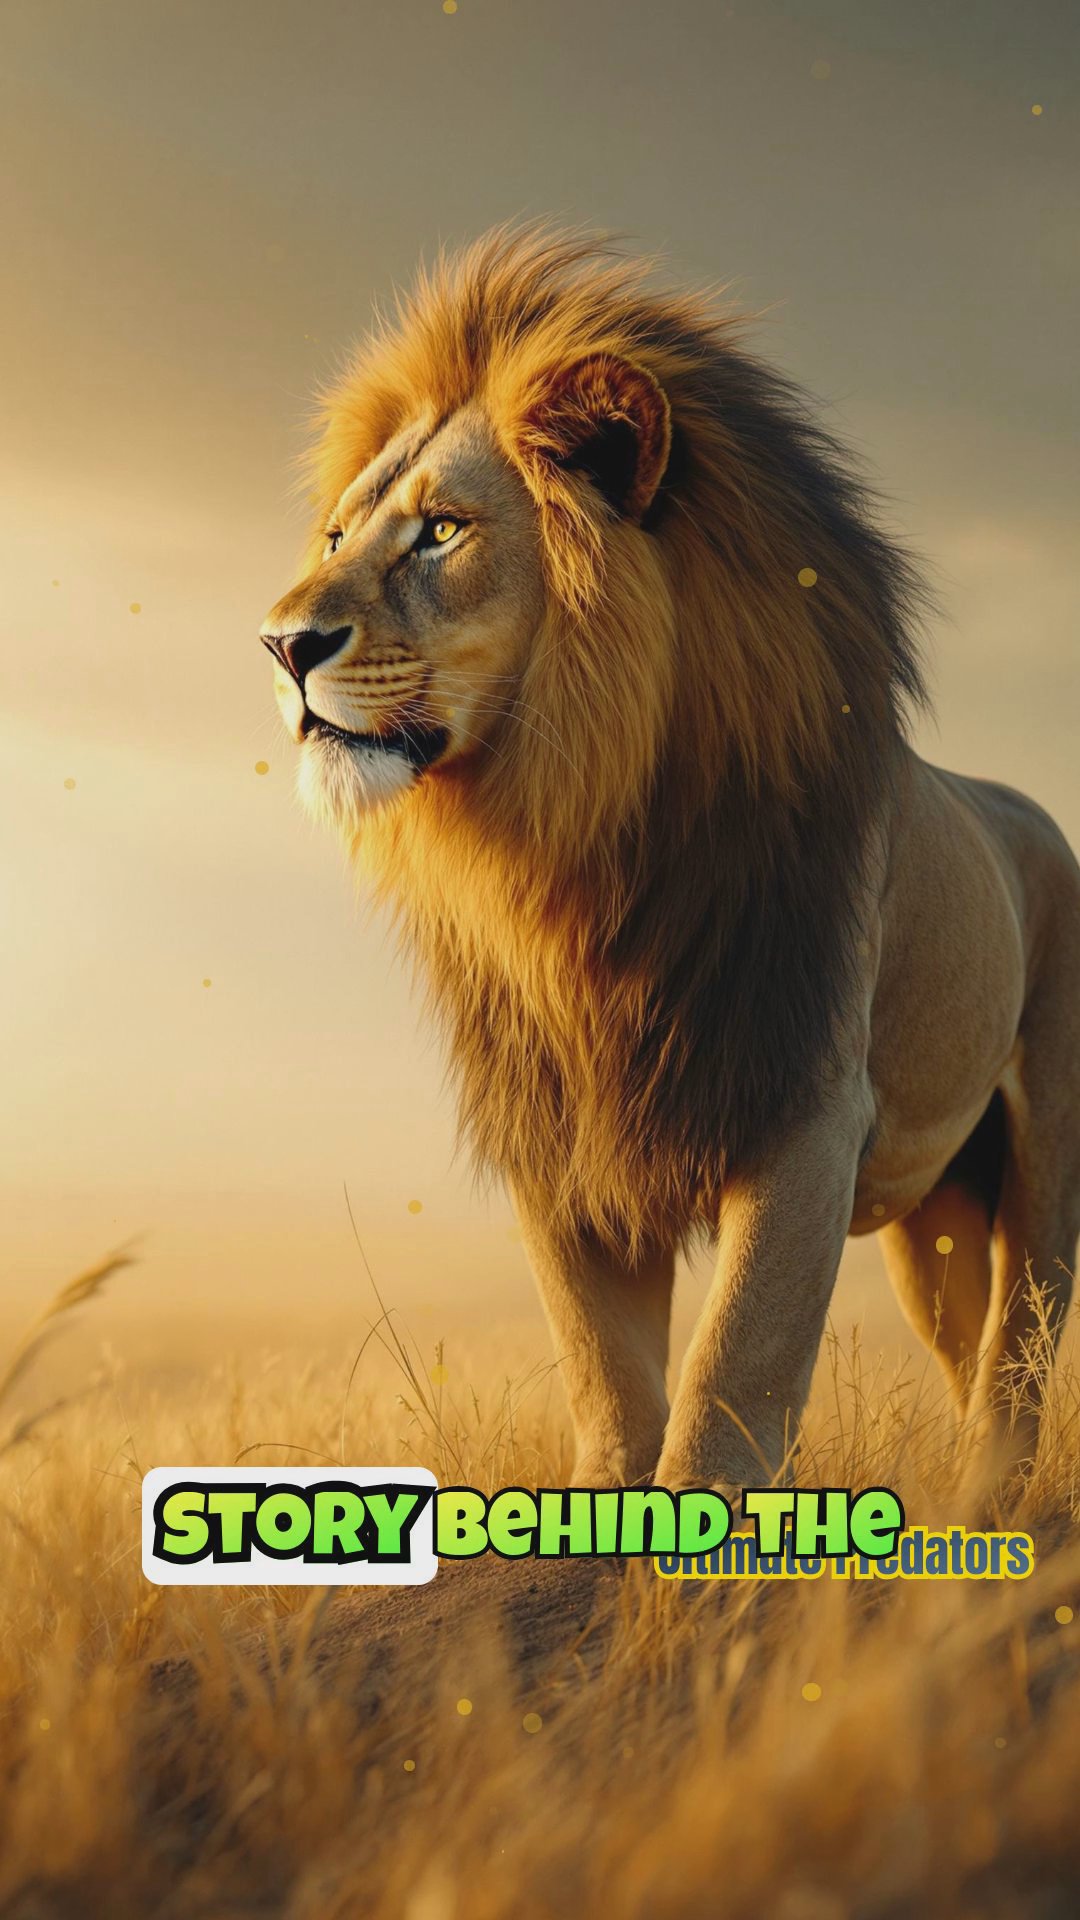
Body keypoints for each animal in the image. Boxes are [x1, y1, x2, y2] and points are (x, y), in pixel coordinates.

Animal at [261, 228, 1080, 1500]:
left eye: (442, 531)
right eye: (338, 537)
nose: (282, 644)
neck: (571, 846)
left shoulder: (803, 1104)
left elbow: (733, 1374)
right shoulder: (566, 1137)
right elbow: (609, 1380)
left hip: (1045, 1152)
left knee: (1019, 1354)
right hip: (935, 1213)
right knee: (966, 1350)